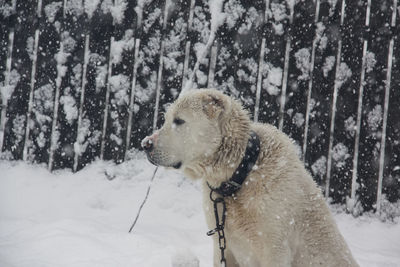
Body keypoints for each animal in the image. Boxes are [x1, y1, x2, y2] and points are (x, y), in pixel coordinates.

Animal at [141, 89, 360, 266]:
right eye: (166, 119)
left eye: (179, 120)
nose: (145, 144)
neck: (241, 174)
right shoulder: (222, 244)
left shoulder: (275, 248)